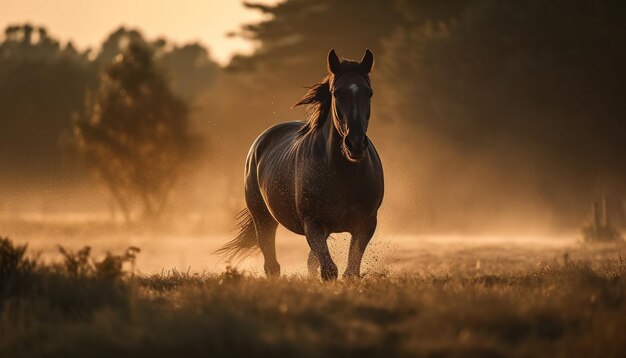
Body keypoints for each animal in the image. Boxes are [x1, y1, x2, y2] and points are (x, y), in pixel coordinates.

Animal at [219, 48, 386, 280]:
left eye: (368, 93)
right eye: (336, 93)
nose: (355, 144)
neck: (345, 175)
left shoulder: (365, 225)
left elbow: (349, 271)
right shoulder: (313, 224)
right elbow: (329, 271)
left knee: (309, 262)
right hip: (263, 219)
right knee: (272, 265)